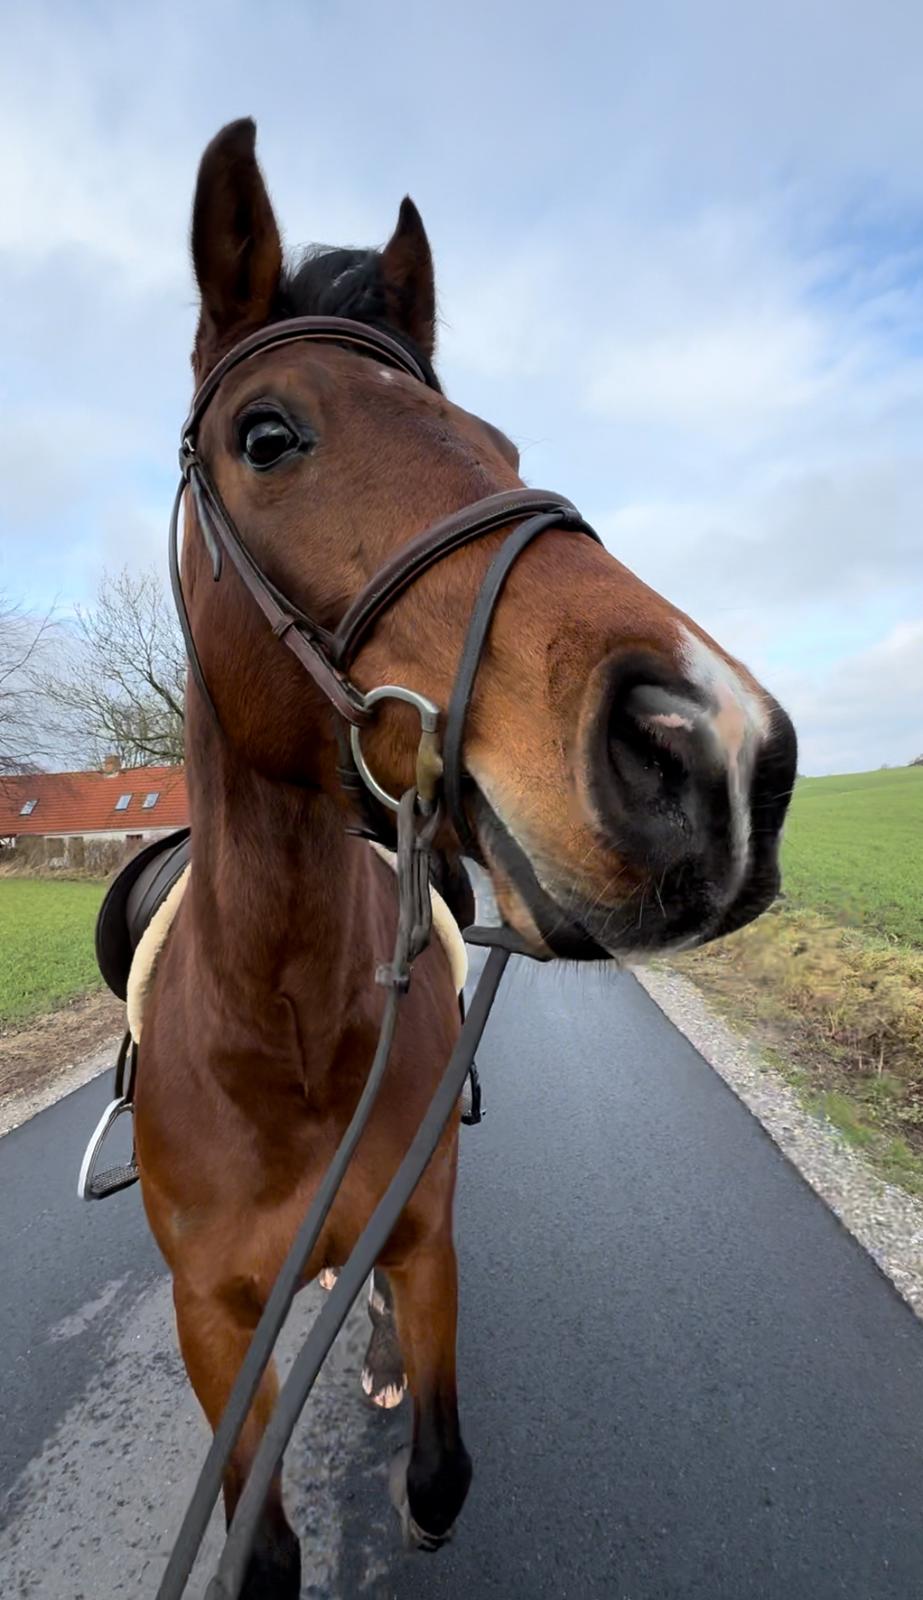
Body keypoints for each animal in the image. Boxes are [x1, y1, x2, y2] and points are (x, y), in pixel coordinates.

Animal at [132, 116, 796, 1600]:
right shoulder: (214, 1327)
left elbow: (438, 1473)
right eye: (269, 435)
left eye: (496, 443)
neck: (283, 1040)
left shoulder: (426, 1232)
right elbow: (261, 1549)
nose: (712, 747)